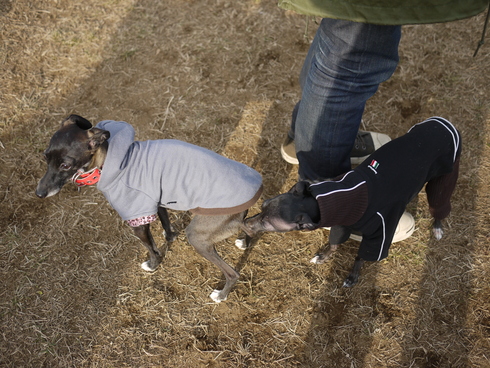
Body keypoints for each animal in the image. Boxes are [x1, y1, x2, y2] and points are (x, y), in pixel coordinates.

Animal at [36, 115, 262, 302]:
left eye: (65, 165)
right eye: (46, 157)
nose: (39, 193)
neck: (110, 159)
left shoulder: (137, 220)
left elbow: (150, 248)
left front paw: (153, 265)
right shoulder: (157, 201)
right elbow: (165, 224)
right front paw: (169, 237)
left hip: (198, 236)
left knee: (233, 273)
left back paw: (221, 295)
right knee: (252, 229)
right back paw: (244, 242)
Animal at [243, 118, 462, 288]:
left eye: (267, 224)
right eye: (262, 206)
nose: (245, 223)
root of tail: (443, 122)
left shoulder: (380, 233)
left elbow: (361, 256)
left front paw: (352, 277)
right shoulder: (341, 225)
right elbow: (333, 245)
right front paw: (322, 257)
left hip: (443, 179)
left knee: (440, 206)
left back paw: (437, 228)